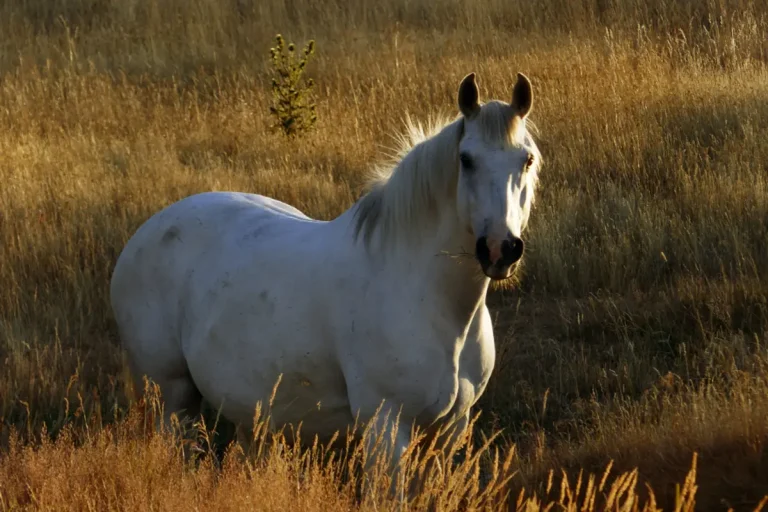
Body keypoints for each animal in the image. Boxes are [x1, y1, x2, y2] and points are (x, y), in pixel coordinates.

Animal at [110, 71, 542, 500]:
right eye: (466, 160)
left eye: (527, 159)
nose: (500, 249)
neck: (429, 300)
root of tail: (146, 232)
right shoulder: (385, 427)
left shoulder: (450, 430)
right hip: (173, 397)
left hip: (249, 410)